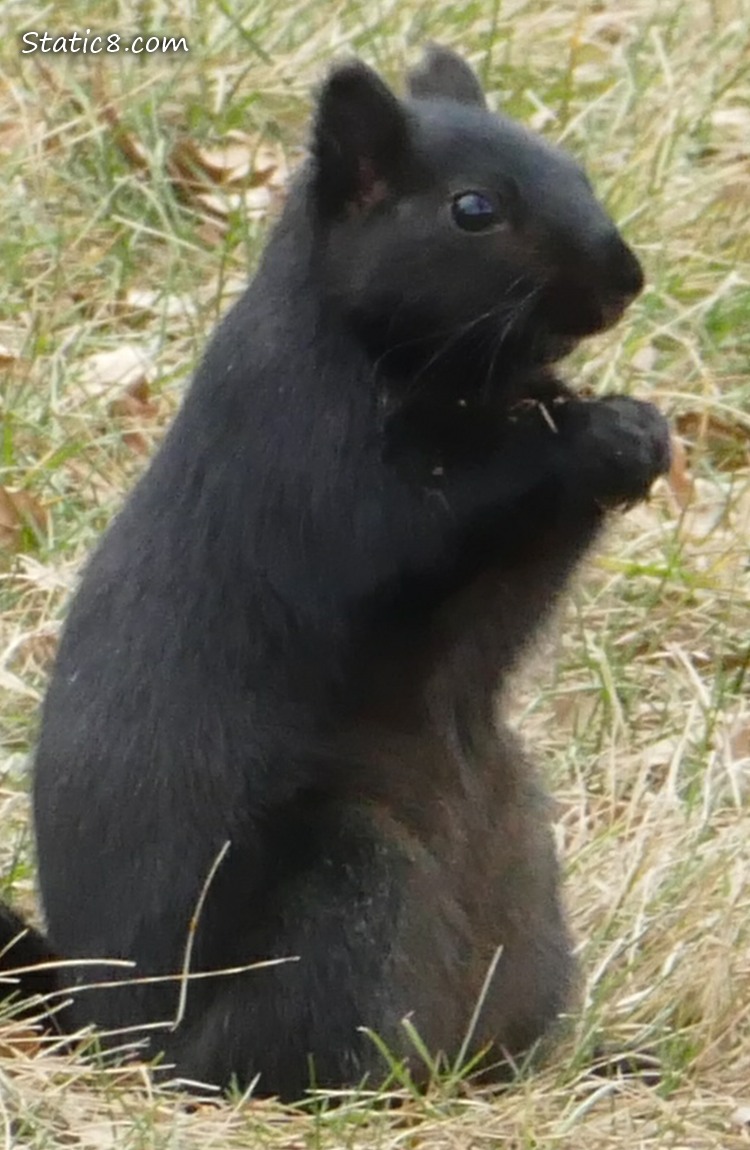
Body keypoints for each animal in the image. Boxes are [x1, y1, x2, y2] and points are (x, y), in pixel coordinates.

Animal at [0, 44, 671, 1099]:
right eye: (472, 210)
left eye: (579, 169)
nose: (622, 280)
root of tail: (115, 1035)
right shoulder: (311, 466)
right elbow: (425, 520)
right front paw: (597, 436)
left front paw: (640, 428)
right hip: (348, 889)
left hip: (523, 876)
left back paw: (585, 1066)